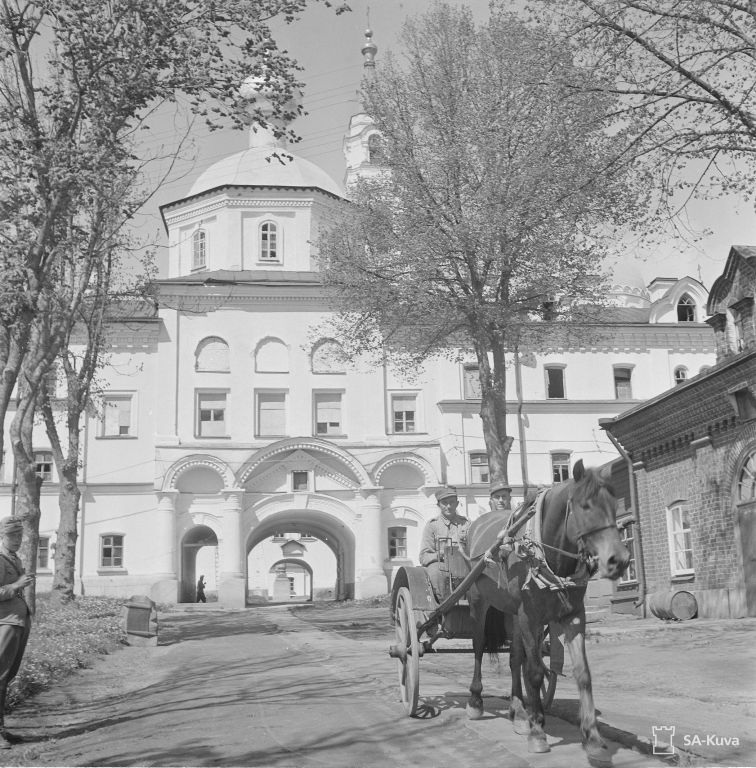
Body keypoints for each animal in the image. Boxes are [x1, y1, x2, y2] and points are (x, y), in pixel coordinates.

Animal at [464, 460, 628, 764]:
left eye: (613, 505)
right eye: (585, 506)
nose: (619, 560)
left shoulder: (573, 615)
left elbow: (582, 674)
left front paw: (592, 738)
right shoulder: (530, 615)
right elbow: (535, 672)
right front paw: (537, 731)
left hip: (511, 613)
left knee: (514, 657)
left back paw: (518, 711)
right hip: (478, 601)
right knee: (479, 647)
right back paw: (476, 701)